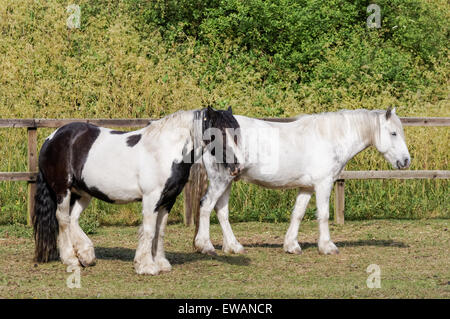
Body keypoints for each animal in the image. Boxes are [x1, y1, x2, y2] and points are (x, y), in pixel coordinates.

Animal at [33, 107, 243, 276]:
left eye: (236, 133)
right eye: (219, 132)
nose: (237, 167)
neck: (165, 151)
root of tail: (51, 138)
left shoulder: (168, 200)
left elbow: (160, 231)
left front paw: (161, 263)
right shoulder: (151, 198)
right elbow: (149, 231)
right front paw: (146, 266)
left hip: (83, 192)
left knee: (73, 218)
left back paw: (86, 255)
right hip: (63, 190)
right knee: (63, 220)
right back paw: (70, 258)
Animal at [193, 109, 412, 256]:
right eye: (393, 133)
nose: (406, 161)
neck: (330, 136)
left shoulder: (306, 187)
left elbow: (297, 214)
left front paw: (291, 246)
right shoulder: (324, 184)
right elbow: (323, 215)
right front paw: (327, 246)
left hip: (229, 180)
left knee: (221, 212)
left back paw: (234, 246)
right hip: (220, 181)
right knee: (206, 206)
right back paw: (205, 246)